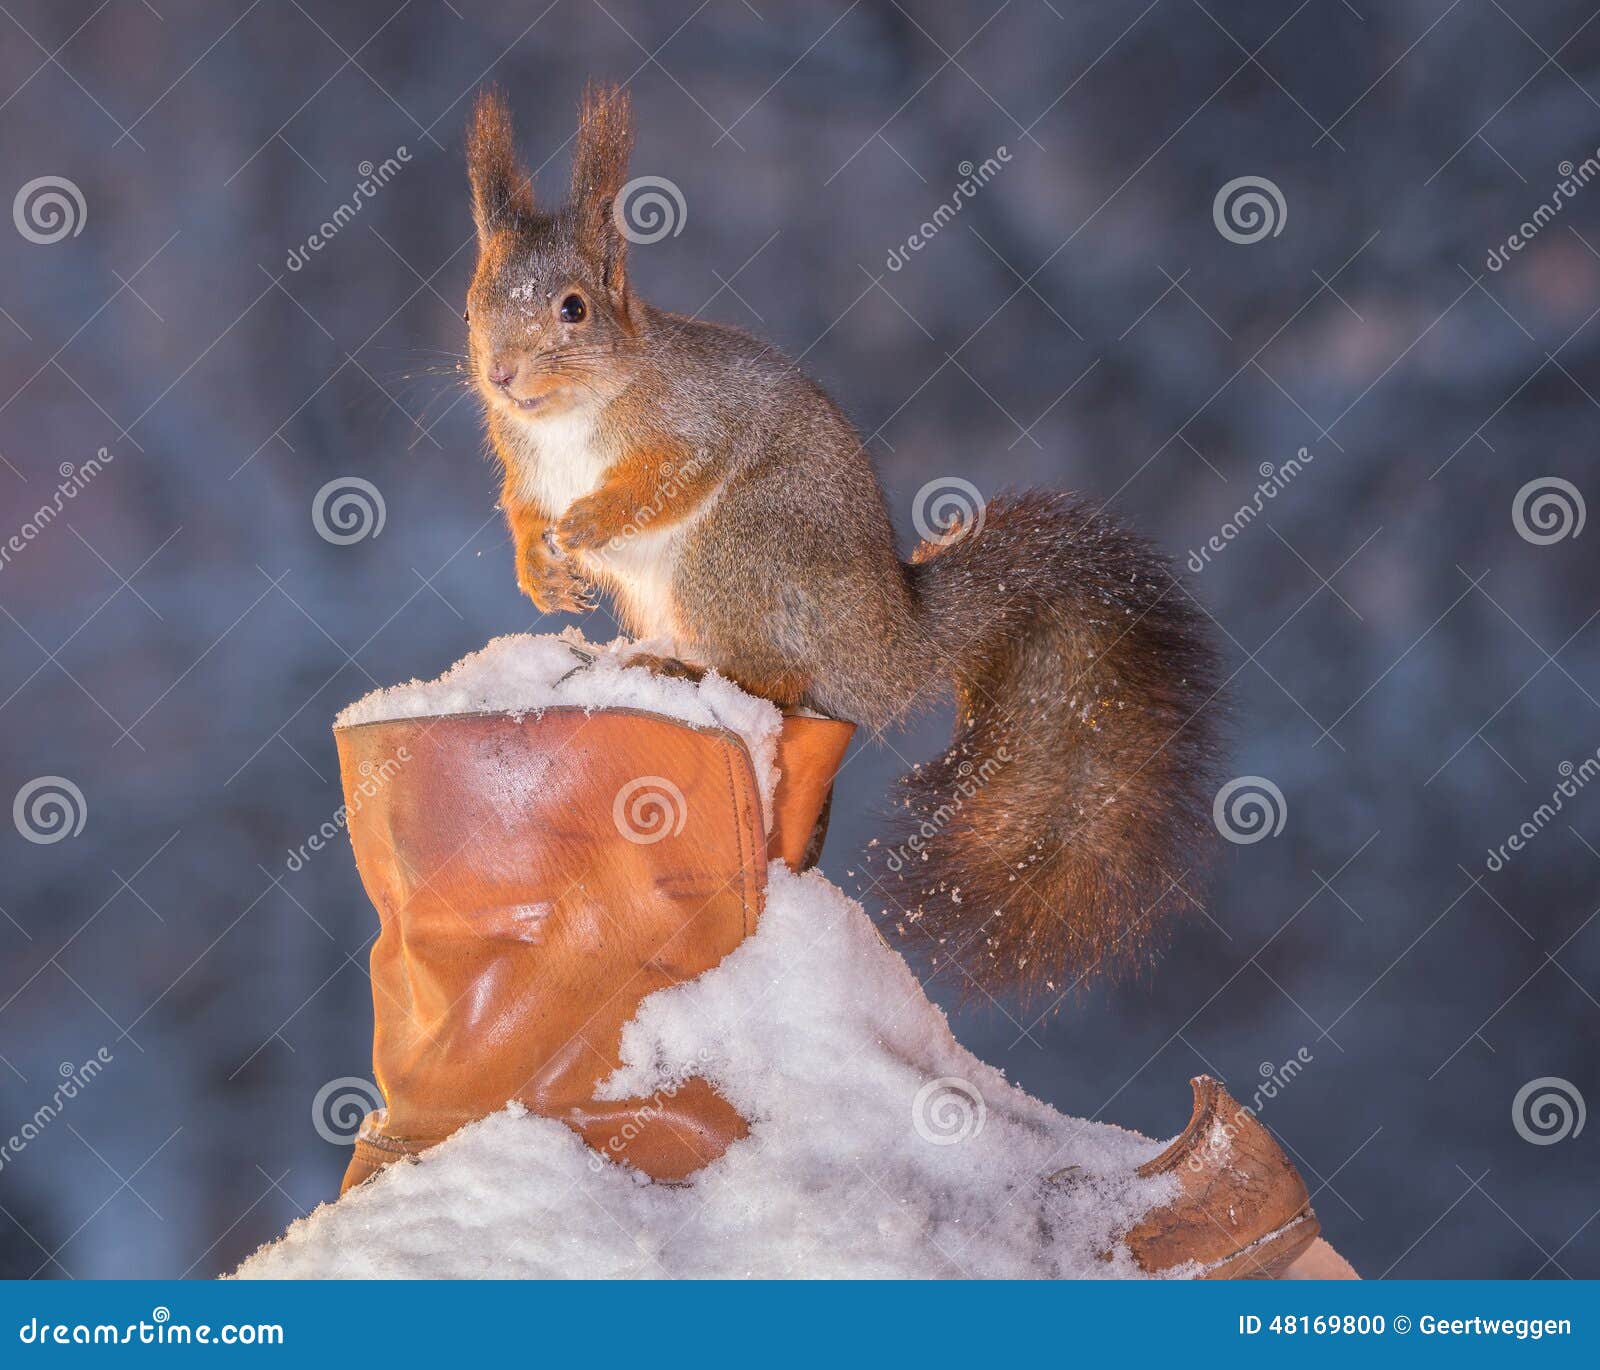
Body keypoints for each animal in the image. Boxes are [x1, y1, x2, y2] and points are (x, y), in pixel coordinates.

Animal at [463, 84, 1223, 1000]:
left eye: (573, 308)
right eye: (475, 298)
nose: (500, 374)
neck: (573, 413)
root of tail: (895, 640)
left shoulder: (695, 424)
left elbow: (667, 477)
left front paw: (590, 525)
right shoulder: (525, 465)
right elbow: (520, 509)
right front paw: (540, 569)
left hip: (744, 548)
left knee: (782, 681)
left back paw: (684, 670)